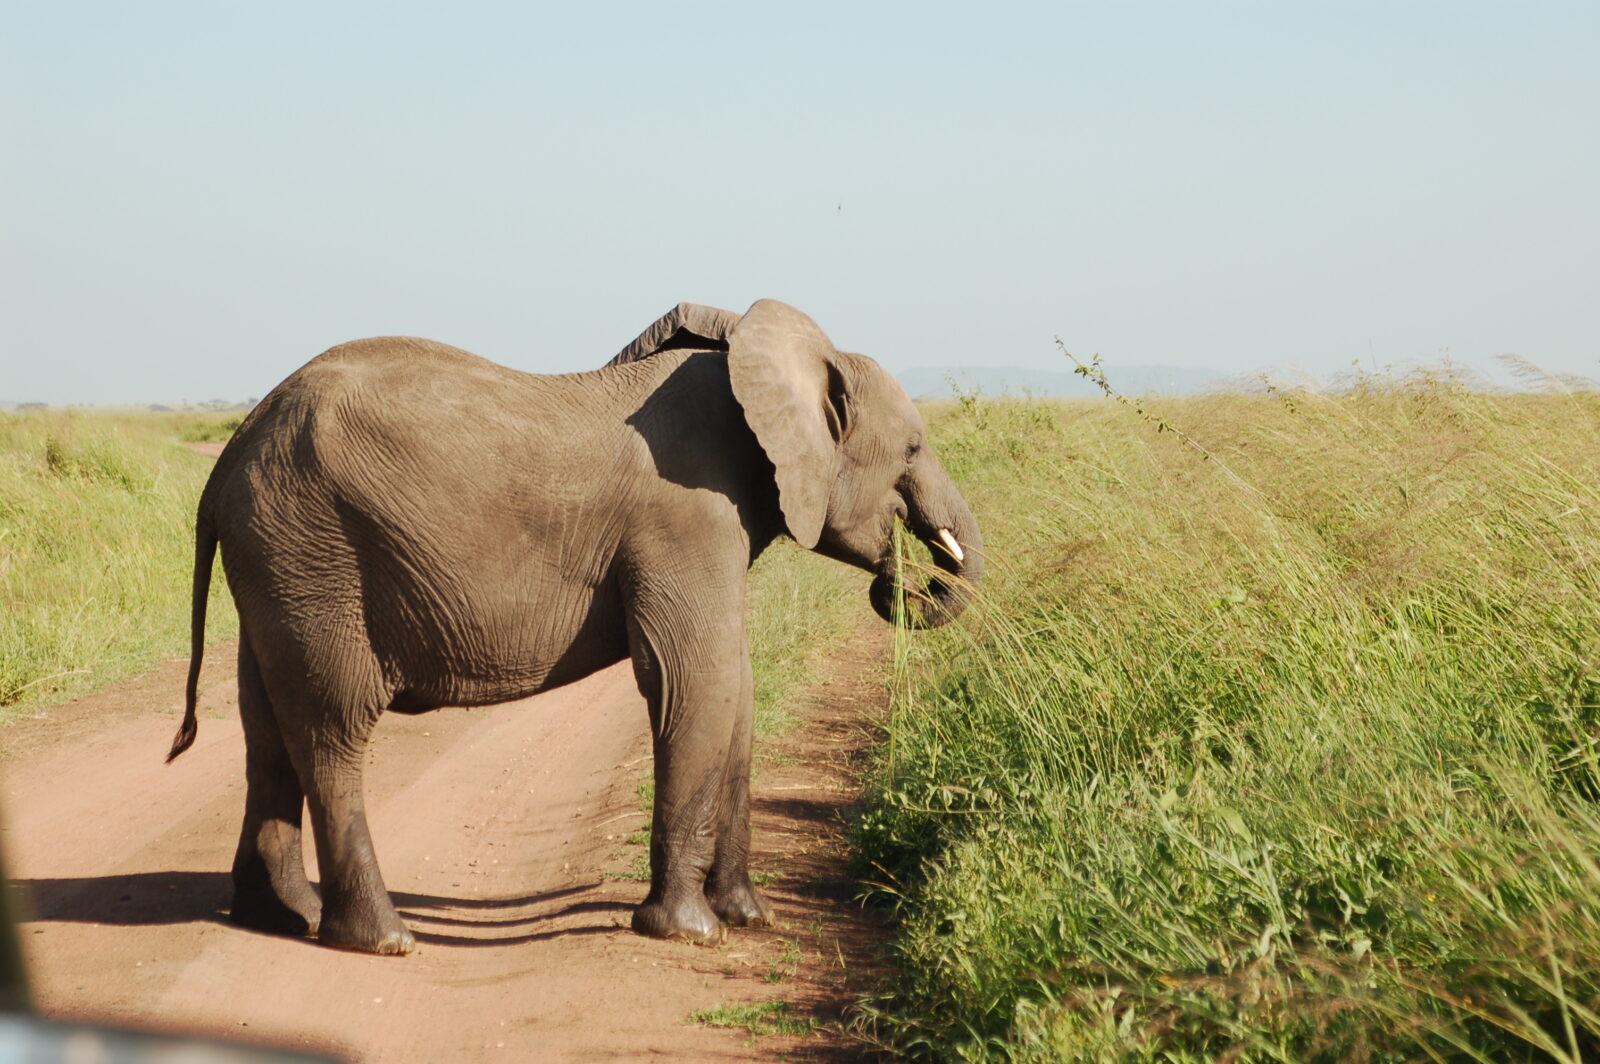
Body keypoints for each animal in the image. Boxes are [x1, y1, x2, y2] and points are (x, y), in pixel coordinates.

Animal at [166, 298, 982, 954]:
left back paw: (281, 918)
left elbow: (738, 695)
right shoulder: (686, 517)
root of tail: (226, 458)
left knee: (267, 731)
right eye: (912, 450)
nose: (903, 578)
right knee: (331, 729)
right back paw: (380, 939)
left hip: (279, 562)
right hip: (313, 551)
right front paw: (690, 932)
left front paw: (749, 918)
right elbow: (697, 681)